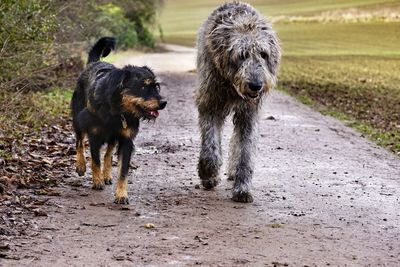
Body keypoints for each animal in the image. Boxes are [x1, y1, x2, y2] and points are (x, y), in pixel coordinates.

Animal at [71, 37, 166, 205]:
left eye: (156, 86)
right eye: (143, 87)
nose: (163, 103)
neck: (117, 110)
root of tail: (93, 63)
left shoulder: (126, 140)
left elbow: (122, 170)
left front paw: (121, 194)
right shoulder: (94, 135)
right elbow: (95, 160)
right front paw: (97, 180)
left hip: (113, 136)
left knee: (108, 153)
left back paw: (107, 174)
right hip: (78, 117)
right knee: (79, 141)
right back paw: (81, 165)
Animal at [196, 0, 282, 203]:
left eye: (263, 54)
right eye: (242, 55)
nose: (256, 85)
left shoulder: (249, 113)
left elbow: (246, 150)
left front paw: (242, 188)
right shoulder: (210, 102)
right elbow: (211, 144)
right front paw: (208, 173)